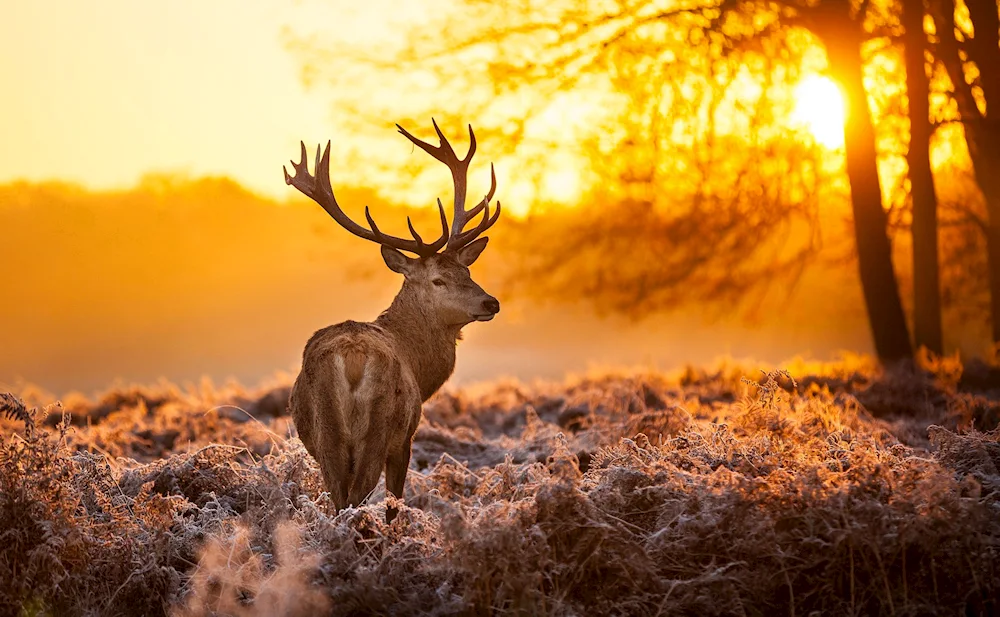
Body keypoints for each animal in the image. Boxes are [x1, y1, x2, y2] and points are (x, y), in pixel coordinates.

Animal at [282, 119, 500, 520]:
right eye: (438, 279)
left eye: (467, 270)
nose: (491, 302)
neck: (419, 364)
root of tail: (352, 358)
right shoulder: (406, 437)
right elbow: (395, 502)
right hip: (380, 427)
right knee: (358, 495)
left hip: (325, 434)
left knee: (339, 497)